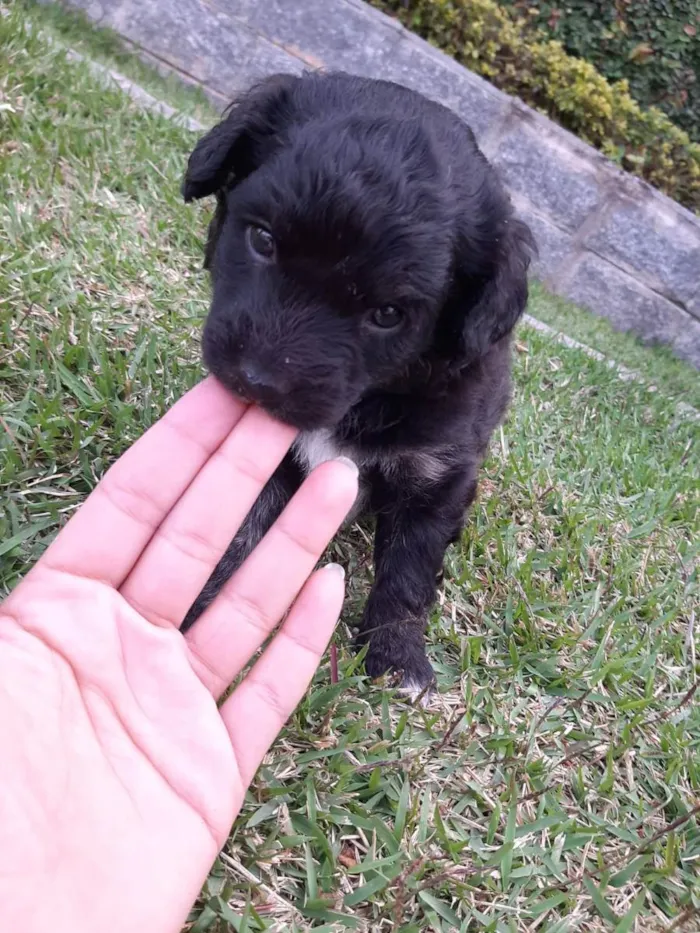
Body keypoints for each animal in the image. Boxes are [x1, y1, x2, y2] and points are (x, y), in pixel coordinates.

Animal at [178, 73, 532, 696]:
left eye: (388, 314)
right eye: (263, 240)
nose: (256, 381)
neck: (363, 405)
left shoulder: (437, 475)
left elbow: (410, 570)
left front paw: (397, 658)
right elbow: (240, 530)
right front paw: (201, 605)